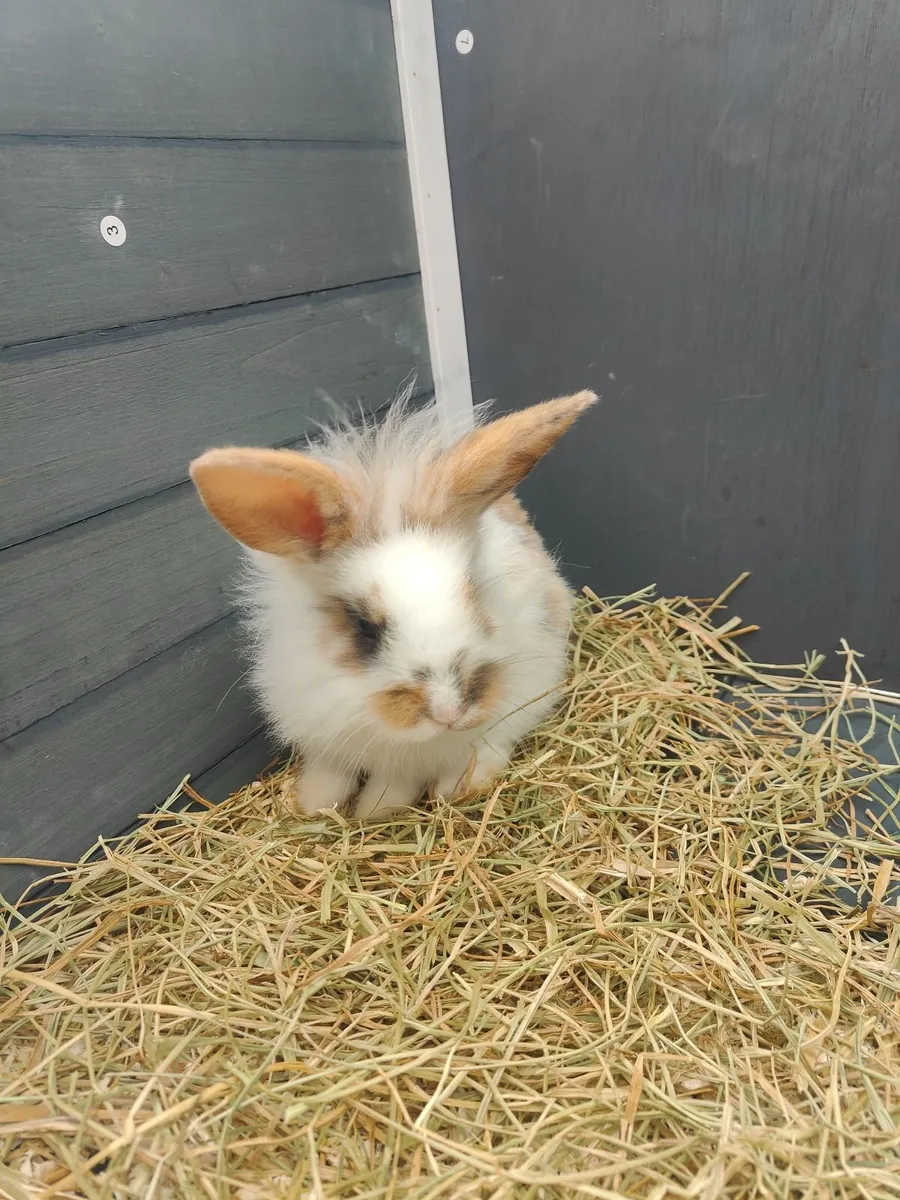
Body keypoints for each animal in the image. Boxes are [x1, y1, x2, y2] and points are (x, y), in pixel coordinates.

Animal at [189, 387, 597, 819]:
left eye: (473, 594)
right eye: (364, 626)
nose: (448, 712)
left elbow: (396, 782)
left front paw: (375, 811)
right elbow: (330, 771)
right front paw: (315, 804)